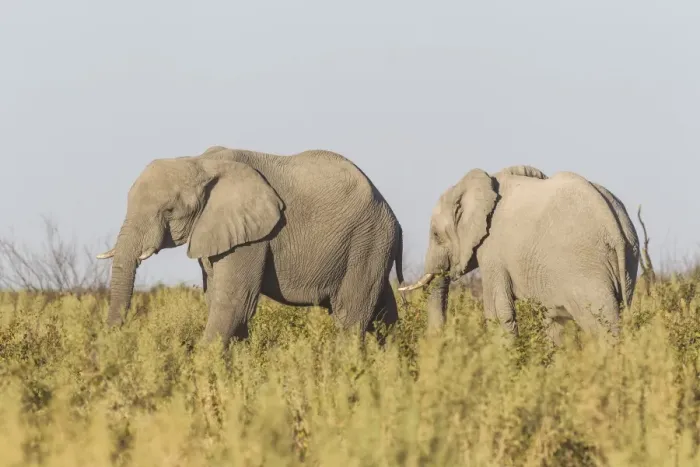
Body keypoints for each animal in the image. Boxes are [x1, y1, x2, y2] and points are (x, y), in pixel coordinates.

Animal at [96, 146, 405, 346]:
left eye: (169, 210)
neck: (202, 162)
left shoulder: (253, 237)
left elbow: (234, 302)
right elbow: (218, 299)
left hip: (368, 239)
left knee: (350, 316)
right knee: (381, 312)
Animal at [399, 165, 640, 344]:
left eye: (436, 235)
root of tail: (612, 223)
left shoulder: (492, 250)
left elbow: (498, 313)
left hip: (585, 271)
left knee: (602, 326)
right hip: (628, 259)